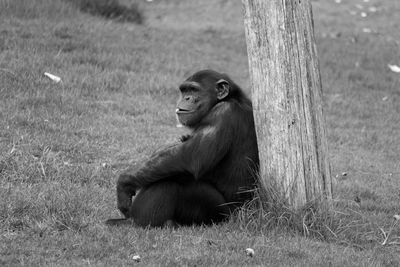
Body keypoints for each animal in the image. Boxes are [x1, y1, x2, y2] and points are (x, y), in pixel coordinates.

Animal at [104, 70, 260, 227]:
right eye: (185, 90)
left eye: (194, 90)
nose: (186, 98)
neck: (224, 101)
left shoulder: (221, 114)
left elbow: (190, 156)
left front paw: (124, 183)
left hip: (218, 213)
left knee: (174, 178)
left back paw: (136, 222)